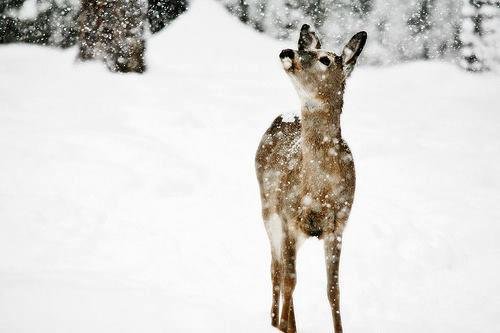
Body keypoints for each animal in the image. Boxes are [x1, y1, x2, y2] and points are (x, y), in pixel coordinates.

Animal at [256, 24, 366, 332]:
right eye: (304, 49)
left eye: (325, 59)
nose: (288, 51)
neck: (319, 191)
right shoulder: (289, 216)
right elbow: (290, 280)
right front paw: (284, 327)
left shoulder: (338, 224)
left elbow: (333, 290)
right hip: (269, 209)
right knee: (277, 269)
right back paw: (275, 322)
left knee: (283, 269)